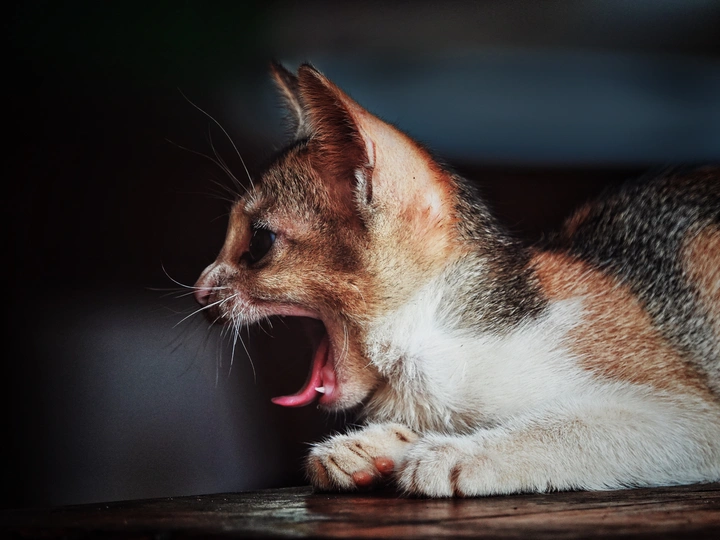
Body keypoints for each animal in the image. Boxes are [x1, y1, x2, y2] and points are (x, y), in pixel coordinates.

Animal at [193, 62, 720, 497]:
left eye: (259, 242)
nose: (200, 288)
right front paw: (374, 446)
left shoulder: (691, 415)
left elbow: (569, 426)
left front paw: (460, 453)